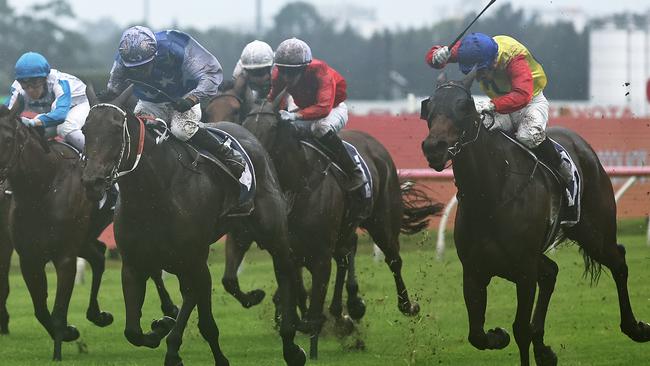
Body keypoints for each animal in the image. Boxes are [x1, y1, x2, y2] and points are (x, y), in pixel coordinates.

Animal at [0, 101, 114, 360]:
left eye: (8, 139)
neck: (42, 188)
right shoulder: (29, 258)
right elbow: (41, 310)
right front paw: (71, 333)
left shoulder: (64, 257)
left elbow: (59, 311)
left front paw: (58, 354)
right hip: (85, 240)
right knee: (99, 255)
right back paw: (98, 315)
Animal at [80, 86, 304, 366]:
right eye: (85, 129)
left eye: (115, 130)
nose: (92, 182)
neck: (154, 193)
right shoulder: (134, 264)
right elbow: (133, 331)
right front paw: (160, 329)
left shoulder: (195, 259)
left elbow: (205, 319)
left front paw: (206, 355)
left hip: (272, 233)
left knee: (285, 270)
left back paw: (291, 343)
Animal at [223, 96, 440, 358]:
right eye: (244, 123)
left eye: (272, 127)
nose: (249, 156)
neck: (296, 182)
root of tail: (376, 146)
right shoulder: (277, 245)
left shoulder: (319, 251)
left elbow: (312, 300)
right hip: (345, 230)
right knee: (347, 254)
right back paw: (347, 308)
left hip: (381, 221)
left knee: (393, 260)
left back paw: (405, 305)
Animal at [418, 70, 644, 364]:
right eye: (429, 106)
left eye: (464, 106)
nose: (434, 146)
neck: (489, 196)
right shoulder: (474, 270)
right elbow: (476, 334)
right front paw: (499, 336)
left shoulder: (524, 271)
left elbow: (520, 329)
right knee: (551, 272)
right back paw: (544, 349)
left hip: (595, 233)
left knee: (618, 260)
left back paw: (635, 328)